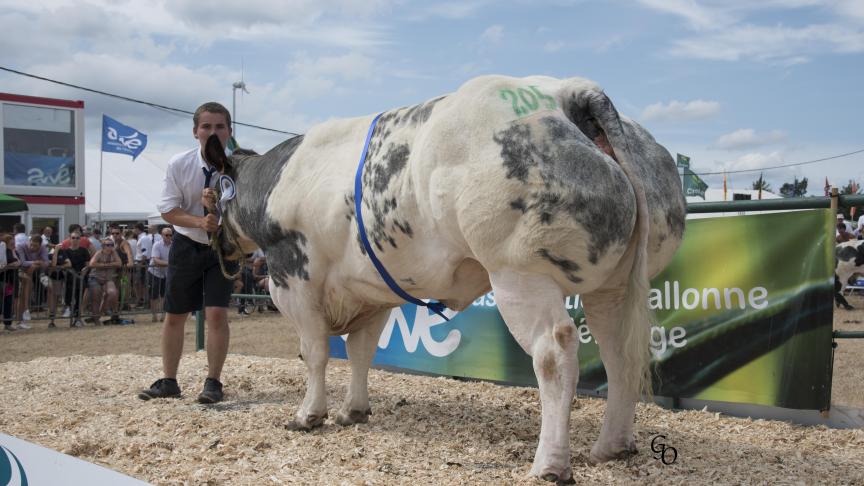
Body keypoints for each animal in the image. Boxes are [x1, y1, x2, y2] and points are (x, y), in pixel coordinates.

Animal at [204, 75, 687, 482]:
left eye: (210, 192)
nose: (220, 250)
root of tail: (569, 92)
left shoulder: (292, 275)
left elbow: (316, 353)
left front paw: (308, 416)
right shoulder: (370, 292)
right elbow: (361, 353)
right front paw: (352, 411)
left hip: (519, 272)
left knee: (554, 353)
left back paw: (549, 464)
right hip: (613, 286)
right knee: (619, 354)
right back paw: (611, 447)